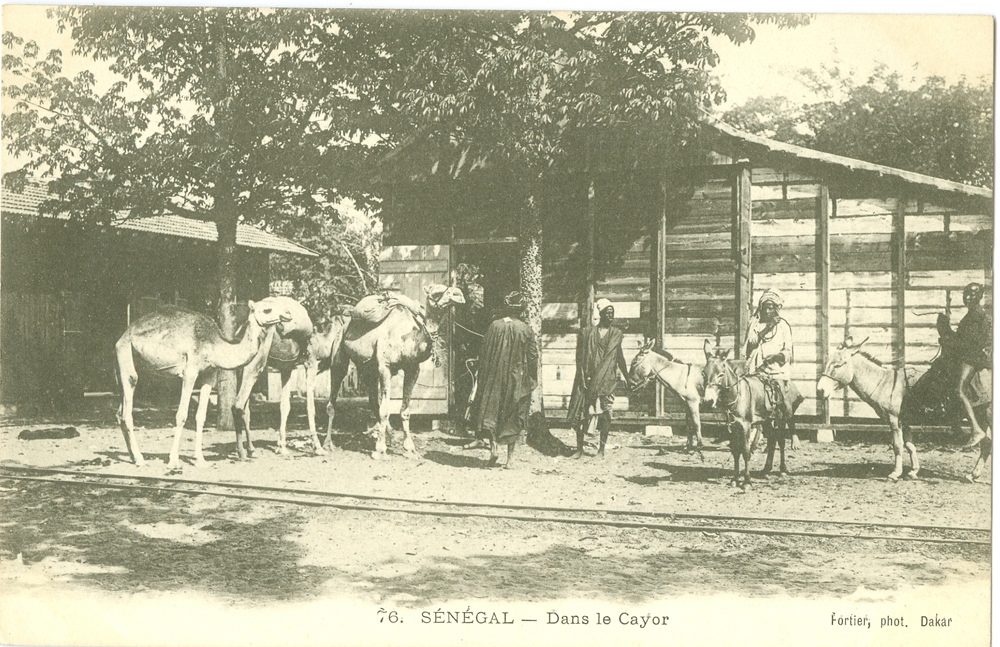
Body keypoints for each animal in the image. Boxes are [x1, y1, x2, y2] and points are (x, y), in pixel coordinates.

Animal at [117, 298, 292, 470]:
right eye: (267, 310)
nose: (288, 314)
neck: (215, 345)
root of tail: (122, 337)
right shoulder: (190, 371)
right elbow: (181, 415)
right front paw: (173, 461)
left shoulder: (210, 374)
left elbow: (201, 416)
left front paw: (200, 459)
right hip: (126, 356)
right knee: (128, 408)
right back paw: (140, 459)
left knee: (120, 413)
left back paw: (132, 457)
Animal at [328, 286, 468, 458]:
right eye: (436, 292)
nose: (459, 294)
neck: (407, 340)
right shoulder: (385, 367)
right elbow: (385, 410)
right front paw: (380, 450)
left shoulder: (413, 369)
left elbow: (404, 410)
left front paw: (410, 448)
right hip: (339, 353)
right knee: (333, 397)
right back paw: (327, 444)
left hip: (367, 369)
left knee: (373, 402)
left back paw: (392, 438)